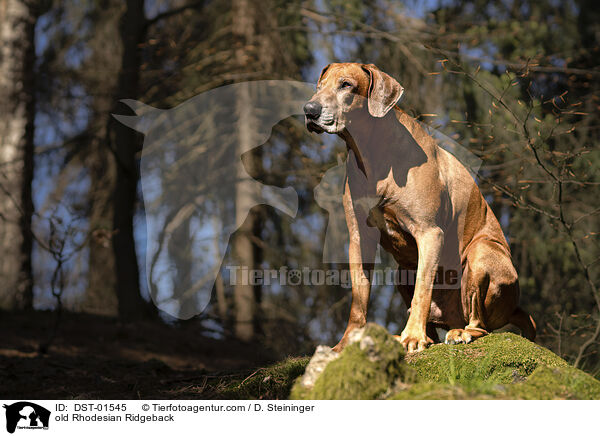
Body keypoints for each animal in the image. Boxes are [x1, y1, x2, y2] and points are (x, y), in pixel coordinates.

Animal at [304, 63, 536, 352]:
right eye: (319, 86)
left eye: (346, 85)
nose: (309, 110)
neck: (373, 155)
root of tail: (515, 307)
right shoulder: (359, 239)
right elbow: (359, 298)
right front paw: (346, 344)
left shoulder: (429, 233)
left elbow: (422, 289)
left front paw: (413, 336)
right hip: (401, 271)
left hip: (481, 254)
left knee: (480, 324)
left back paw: (458, 332)